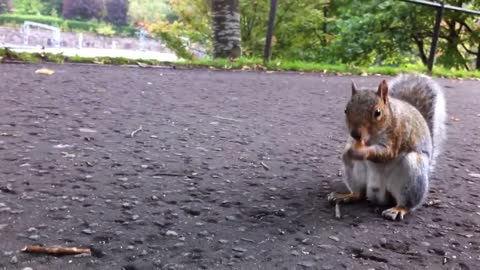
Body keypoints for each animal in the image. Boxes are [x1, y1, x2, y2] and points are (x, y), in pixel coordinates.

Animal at [328, 73, 448, 220]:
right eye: (346, 110)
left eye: (377, 113)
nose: (355, 134)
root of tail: (378, 193)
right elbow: (348, 149)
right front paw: (347, 150)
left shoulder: (396, 135)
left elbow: (386, 153)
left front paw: (361, 152)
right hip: (355, 175)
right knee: (359, 193)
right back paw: (345, 196)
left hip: (413, 173)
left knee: (406, 202)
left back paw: (398, 209)